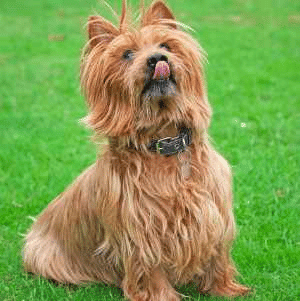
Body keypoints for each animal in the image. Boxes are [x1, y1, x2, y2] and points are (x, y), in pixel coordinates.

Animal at [22, 1, 248, 298]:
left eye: (166, 45)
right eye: (127, 54)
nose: (157, 58)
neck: (163, 141)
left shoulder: (214, 214)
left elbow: (218, 257)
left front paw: (226, 289)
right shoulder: (142, 231)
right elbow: (150, 270)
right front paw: (163, 297)